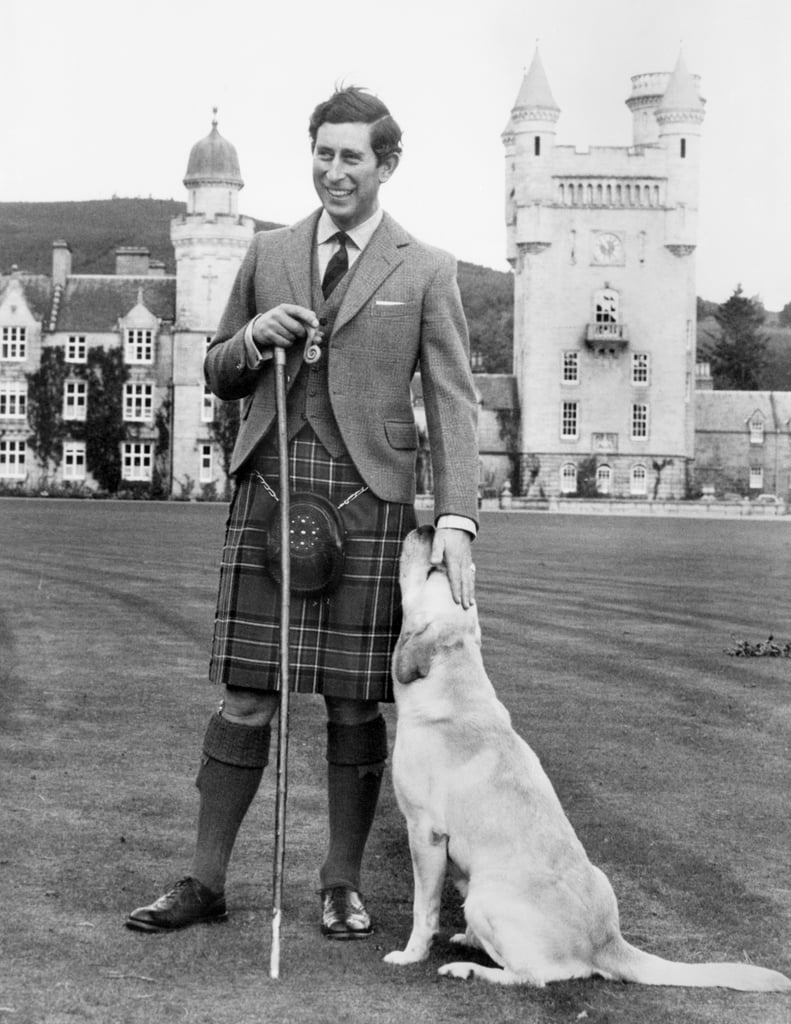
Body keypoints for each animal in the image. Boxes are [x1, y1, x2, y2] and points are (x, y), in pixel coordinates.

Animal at [385, 524, 790, 987]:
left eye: (434, 570)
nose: (426, 527)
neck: (453, 688)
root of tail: (606, 942)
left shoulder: (425, 832)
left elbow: (424, 909)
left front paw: (411, 954)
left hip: (487, 897)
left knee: (531, 976)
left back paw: (470, 969)